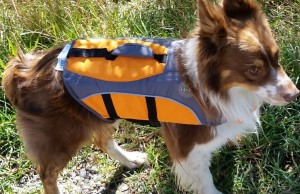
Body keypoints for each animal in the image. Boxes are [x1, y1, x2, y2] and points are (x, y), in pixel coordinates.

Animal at [1, 0, 298, 194]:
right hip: (61, 136)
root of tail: (26, 67)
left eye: (277, 57)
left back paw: (130, 160)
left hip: (100, 112)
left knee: (103, 140)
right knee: (47, 174)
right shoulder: (188, 148)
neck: (215, 86)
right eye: (253, 70)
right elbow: (204, 180)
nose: (295, 95)